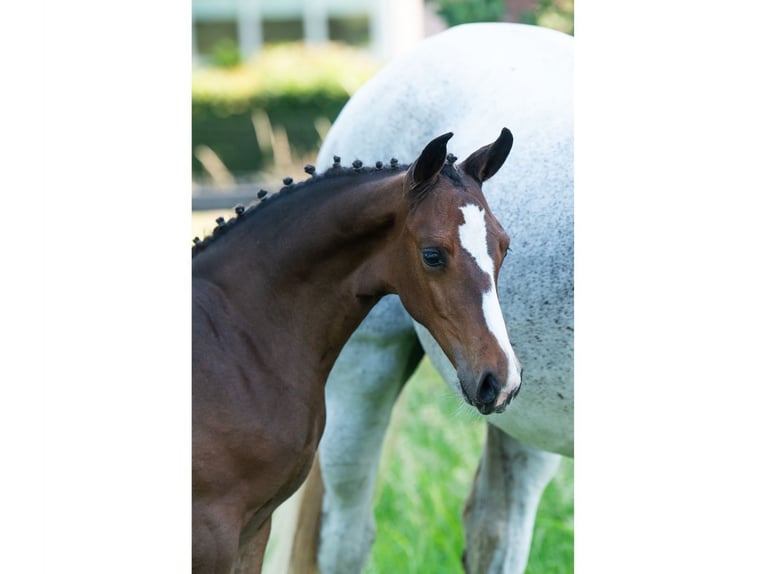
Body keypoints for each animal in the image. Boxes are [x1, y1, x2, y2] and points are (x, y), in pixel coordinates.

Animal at [192, 127, 524, 573]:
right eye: (432, 255)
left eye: (503, 246)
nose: (500, 381)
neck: (235, 336)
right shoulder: (212, 530)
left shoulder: (255, 526)